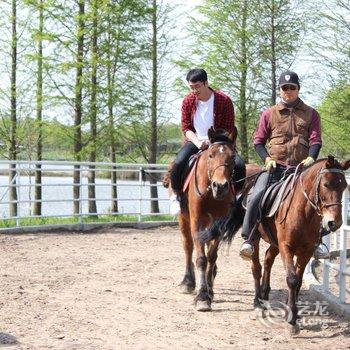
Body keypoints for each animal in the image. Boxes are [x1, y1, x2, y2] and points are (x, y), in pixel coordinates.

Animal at [201, 155, 348, 330]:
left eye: (344, 186)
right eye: (326, 184)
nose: (335, 223)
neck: (303, 212)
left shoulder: (306, 251)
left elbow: (298, 281)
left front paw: (292, 312)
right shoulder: (286, 247)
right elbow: (292, 279)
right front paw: (291, 319)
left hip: (275, 243)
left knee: (268, 259)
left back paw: (265, 295)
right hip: (257, 239)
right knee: (256, 268)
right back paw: (258, 302)